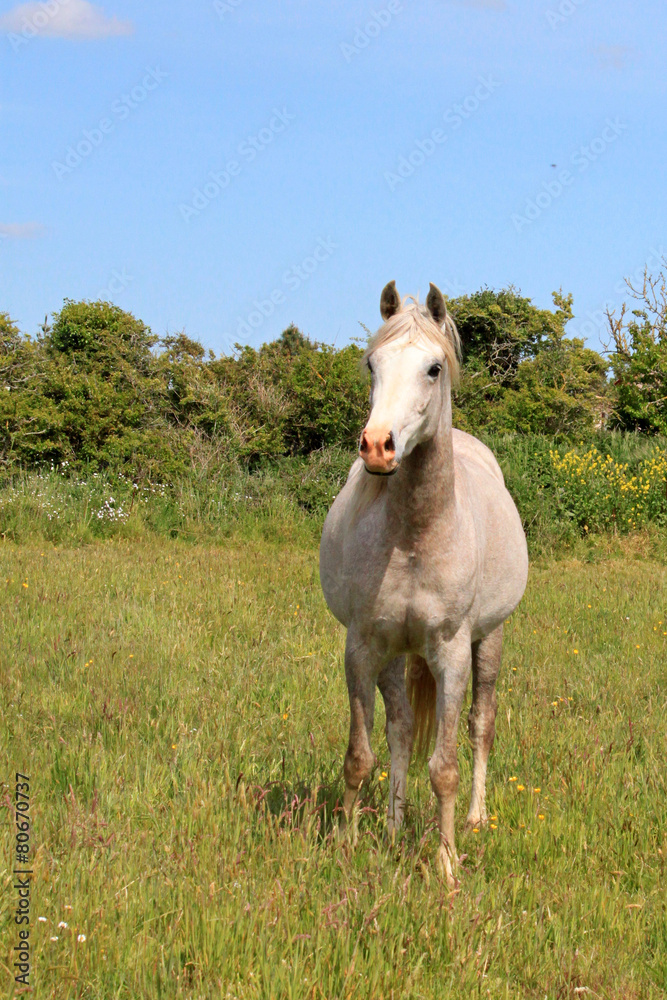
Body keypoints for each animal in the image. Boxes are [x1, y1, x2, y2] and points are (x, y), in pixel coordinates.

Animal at [319, 281, 528, 885]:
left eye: (434, 368)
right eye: (372, 364)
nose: (377, 446)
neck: (415, 533)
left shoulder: (451, 652)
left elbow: (445, 767)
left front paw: (447, 863)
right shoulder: (363, 646)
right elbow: (361, 753)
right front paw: (346, 847)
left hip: (489, 640)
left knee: (481, 724)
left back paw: (476, 819)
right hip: (396, 653)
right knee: (402, 728)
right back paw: (393, 826)